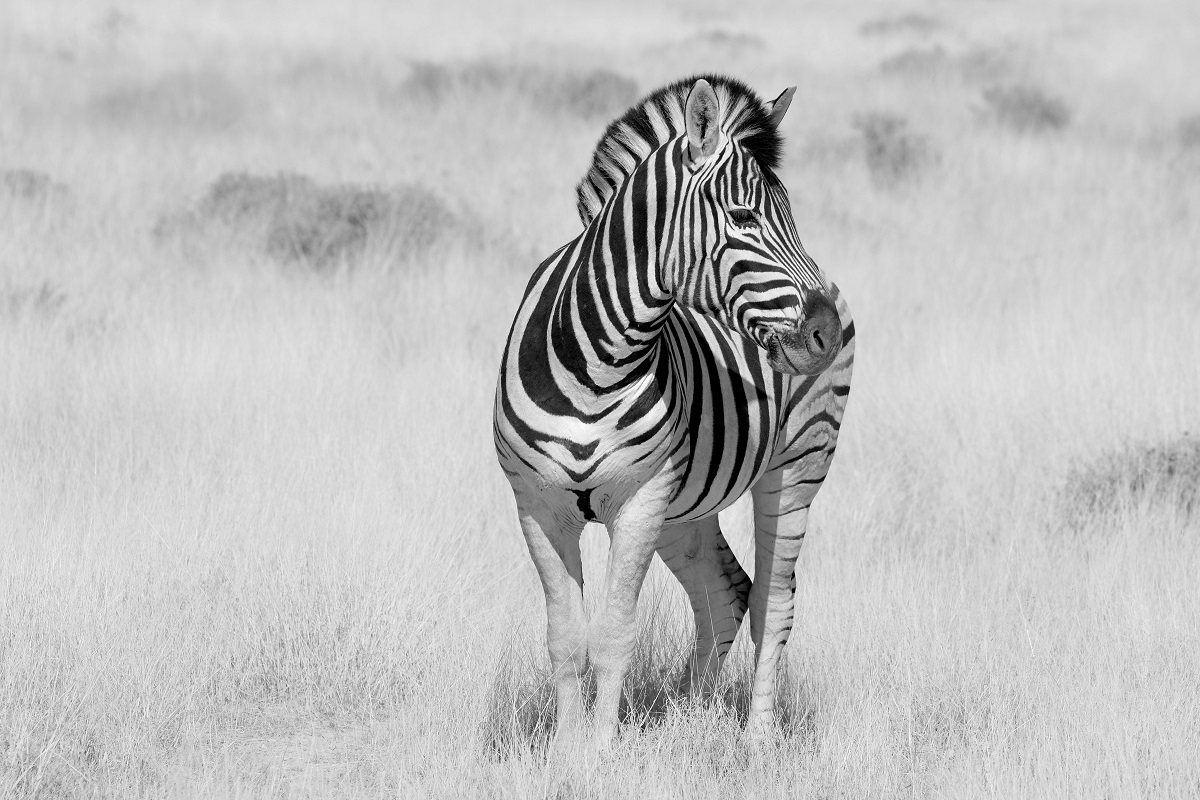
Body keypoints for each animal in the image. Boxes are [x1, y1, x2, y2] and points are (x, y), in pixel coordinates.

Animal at [493, 75, 854, 749]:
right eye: (743, 217)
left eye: (789, 213)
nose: (824, 334)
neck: (596, 361)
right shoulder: (538, 505)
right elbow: (565, 638)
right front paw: (566, 753)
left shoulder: (640, 501)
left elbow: (613, 636)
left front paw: (600, 754)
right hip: (687, 506)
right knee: (726, 593)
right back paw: (685, 719)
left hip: (795, 469)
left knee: (773, 602)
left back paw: (753, 744)